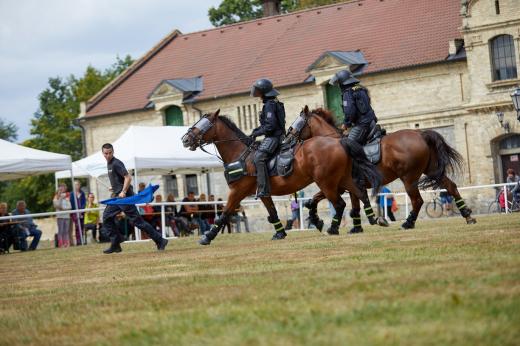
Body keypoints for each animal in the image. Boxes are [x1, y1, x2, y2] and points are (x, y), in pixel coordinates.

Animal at [181, 109, 380, 245]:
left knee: (340, 204)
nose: (185, 139)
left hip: (327, 182)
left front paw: (207, 236)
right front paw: (280, 233)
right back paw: (374, 219)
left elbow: (224, 213)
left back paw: (333, 228)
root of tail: (340, 142)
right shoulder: (263, 192)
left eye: (203, 124)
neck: (241, 155)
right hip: (343, 179)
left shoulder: (237, 191)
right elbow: (272, 212)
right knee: (360, 194)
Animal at [286, 105, 478, 230]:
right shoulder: (346, 186)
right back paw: (468, 216)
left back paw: (408, 223)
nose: (287, 139)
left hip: (409, 178)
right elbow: (352, 206)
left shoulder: (337, 186)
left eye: (296, 124)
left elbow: (323, 200)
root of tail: (420, 133)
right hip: (432, 171)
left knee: (417, 200)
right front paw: (357, 227)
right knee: (451, 187)